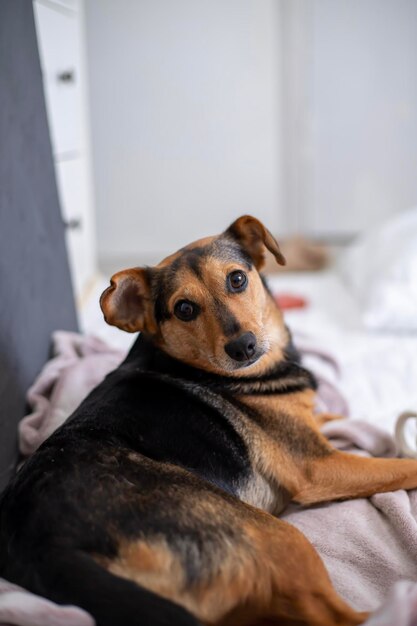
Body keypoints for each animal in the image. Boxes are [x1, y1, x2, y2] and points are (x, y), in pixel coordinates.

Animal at [0, 216, 416, 624]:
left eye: (237, 279)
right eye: (184, 309)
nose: (243, 346)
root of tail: (42, 548)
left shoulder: (310, 425)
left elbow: (339, 417)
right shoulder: (318, 466)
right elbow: (402, 466)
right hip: (276, 535)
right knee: (334, 614)